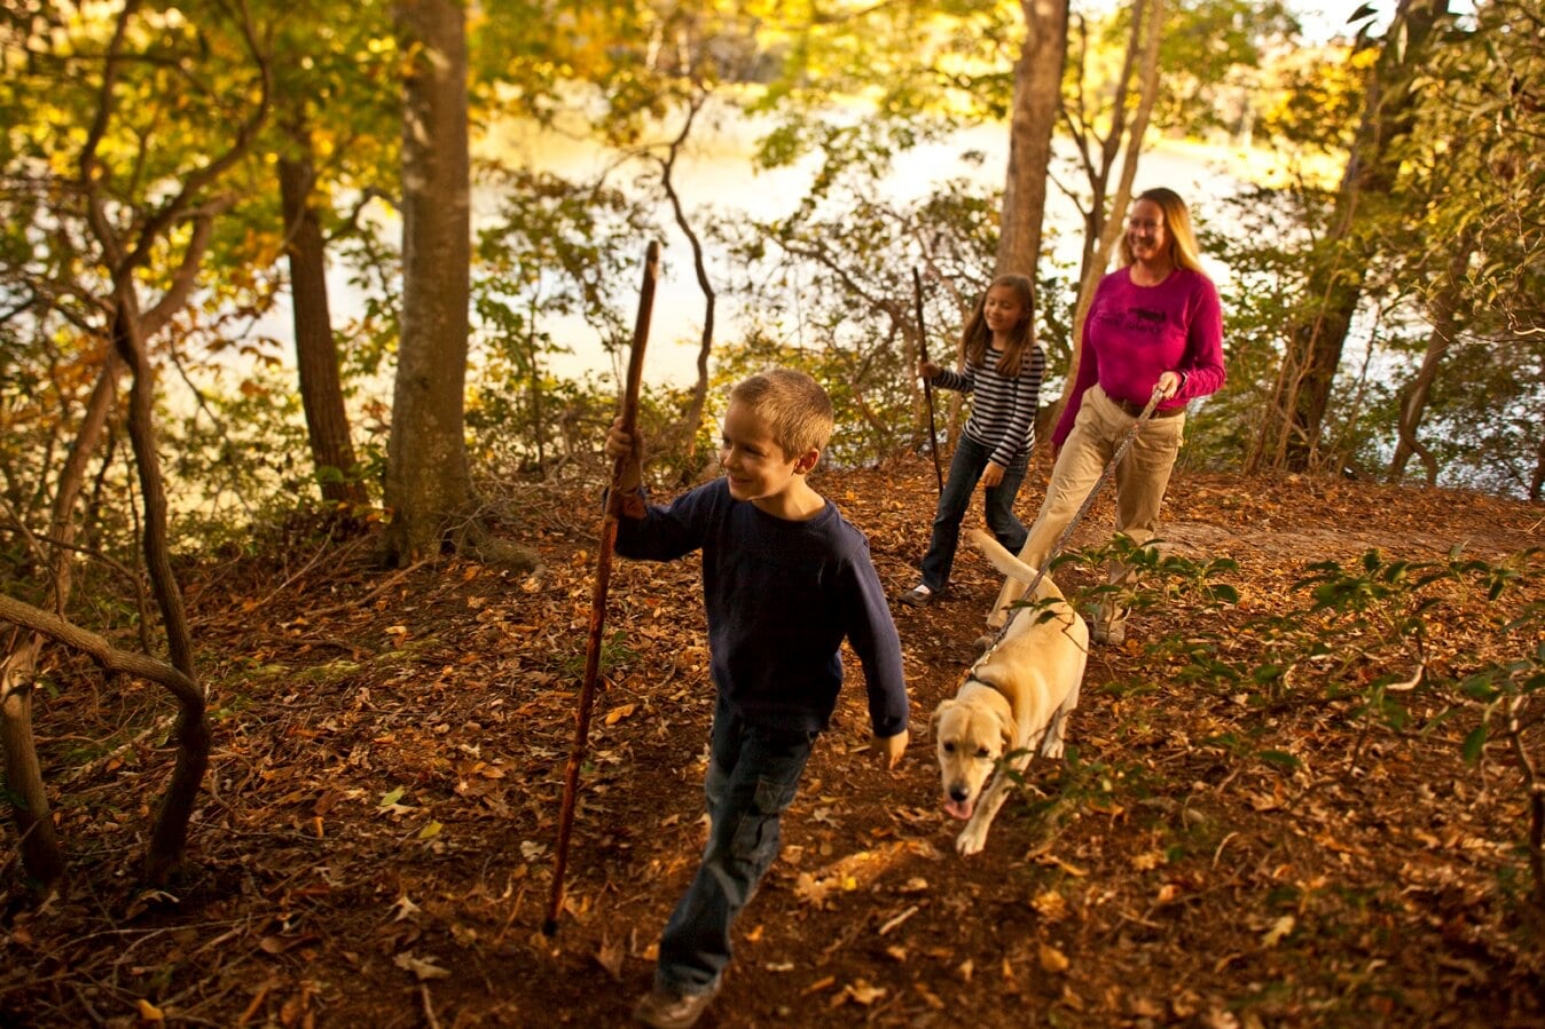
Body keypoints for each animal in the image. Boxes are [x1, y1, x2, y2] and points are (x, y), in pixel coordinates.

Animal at [927, 525, 1087, 852]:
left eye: (984, 751)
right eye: (948, 746)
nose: (959, 793)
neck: (995, 689)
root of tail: (1060, 603)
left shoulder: (1014, 763)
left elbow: (989, 800)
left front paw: (973, 836)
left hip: (1072, 689)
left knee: (1063, 716)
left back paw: (1053, 743)